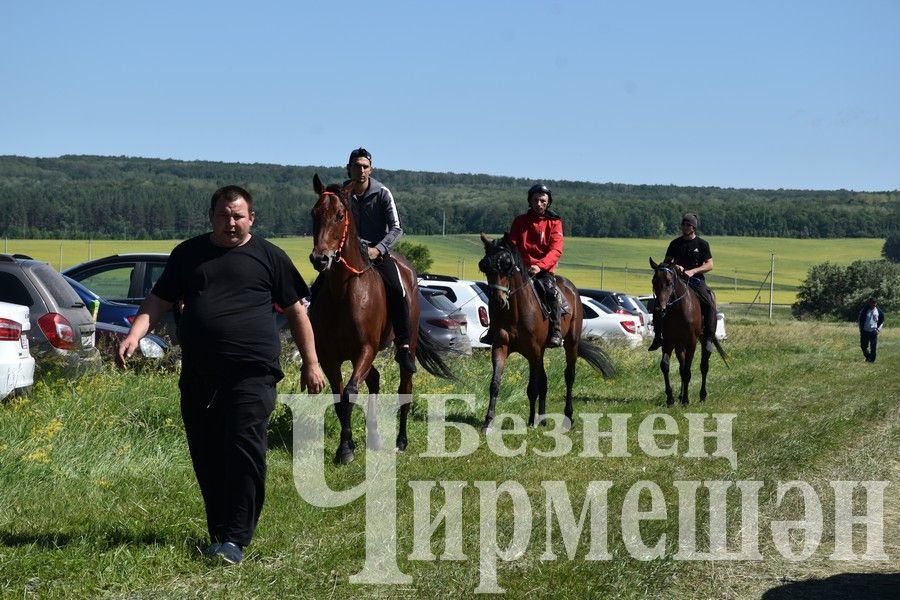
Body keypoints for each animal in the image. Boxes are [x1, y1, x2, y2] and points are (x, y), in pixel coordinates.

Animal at [310, 173, 454, 464]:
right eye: (314, 214)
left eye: (340, 215)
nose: (320, 259)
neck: (343, 292)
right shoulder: (330, 357)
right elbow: (339, 397)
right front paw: (347, 446)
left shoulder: (365, 349)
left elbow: (350, 393)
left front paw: (345, 450)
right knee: (374, 380)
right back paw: (374, 437)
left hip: (405, 345)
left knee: (404, 388)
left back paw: (401, 441)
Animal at [474, 233, 616, 432]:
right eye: (484, 266)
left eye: (507, 264)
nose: (498, 302)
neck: (516, 312)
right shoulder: (501, 347)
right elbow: (495, 384)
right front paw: (488, 422)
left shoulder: (534, 351)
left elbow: (533, 387)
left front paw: (534, 421)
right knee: (544, 381)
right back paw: (541, 419)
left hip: (570, 344)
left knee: (569, 376)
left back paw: (567, 418)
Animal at [652, 255, 728, 406]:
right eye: (653, 281)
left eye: (669, 282)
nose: (659, 310)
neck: (677, 310)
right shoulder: (669, 341)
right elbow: (665, 366)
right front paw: (670, 398)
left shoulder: (691, 342)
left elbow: (687, 370)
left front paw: (686, 401)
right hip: (679, 345)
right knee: (681, 367)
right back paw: (681, 395)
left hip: (703, 340)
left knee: (704, 366)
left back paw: (702, 395)